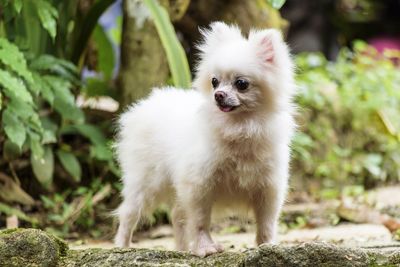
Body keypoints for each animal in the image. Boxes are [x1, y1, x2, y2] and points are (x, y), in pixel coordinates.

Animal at [114, 21, 296, 258]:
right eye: (214, 81)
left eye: (241, 84)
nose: (218, 95)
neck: (239, 128)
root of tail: (144, 104)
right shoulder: (199, 185)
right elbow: (200, 222)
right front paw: (205, 247)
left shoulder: (268, 187)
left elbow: (266, 223)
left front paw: (268, 246)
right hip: (146, 183)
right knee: (129, 214)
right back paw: (121, 246)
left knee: (177, 217)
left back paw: (182, 250)